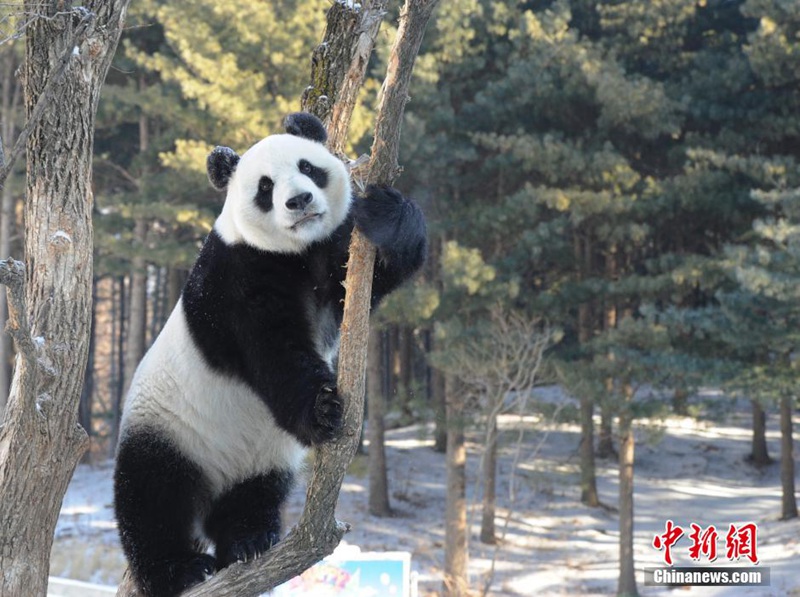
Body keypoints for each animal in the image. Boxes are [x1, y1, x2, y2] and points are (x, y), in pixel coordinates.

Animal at [114, 113, 424, 596]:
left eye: (308, 167)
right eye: (264, 187)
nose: (299, 200)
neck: (296, 251)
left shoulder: (332, 254)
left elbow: (368, 276)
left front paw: (386, 215)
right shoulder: (237, 275)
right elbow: (274, 349)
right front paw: (323, 408)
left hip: (261, 458)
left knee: (254, 496)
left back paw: (248, 542)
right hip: (169, 426)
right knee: (152, 496)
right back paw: (180, 569)